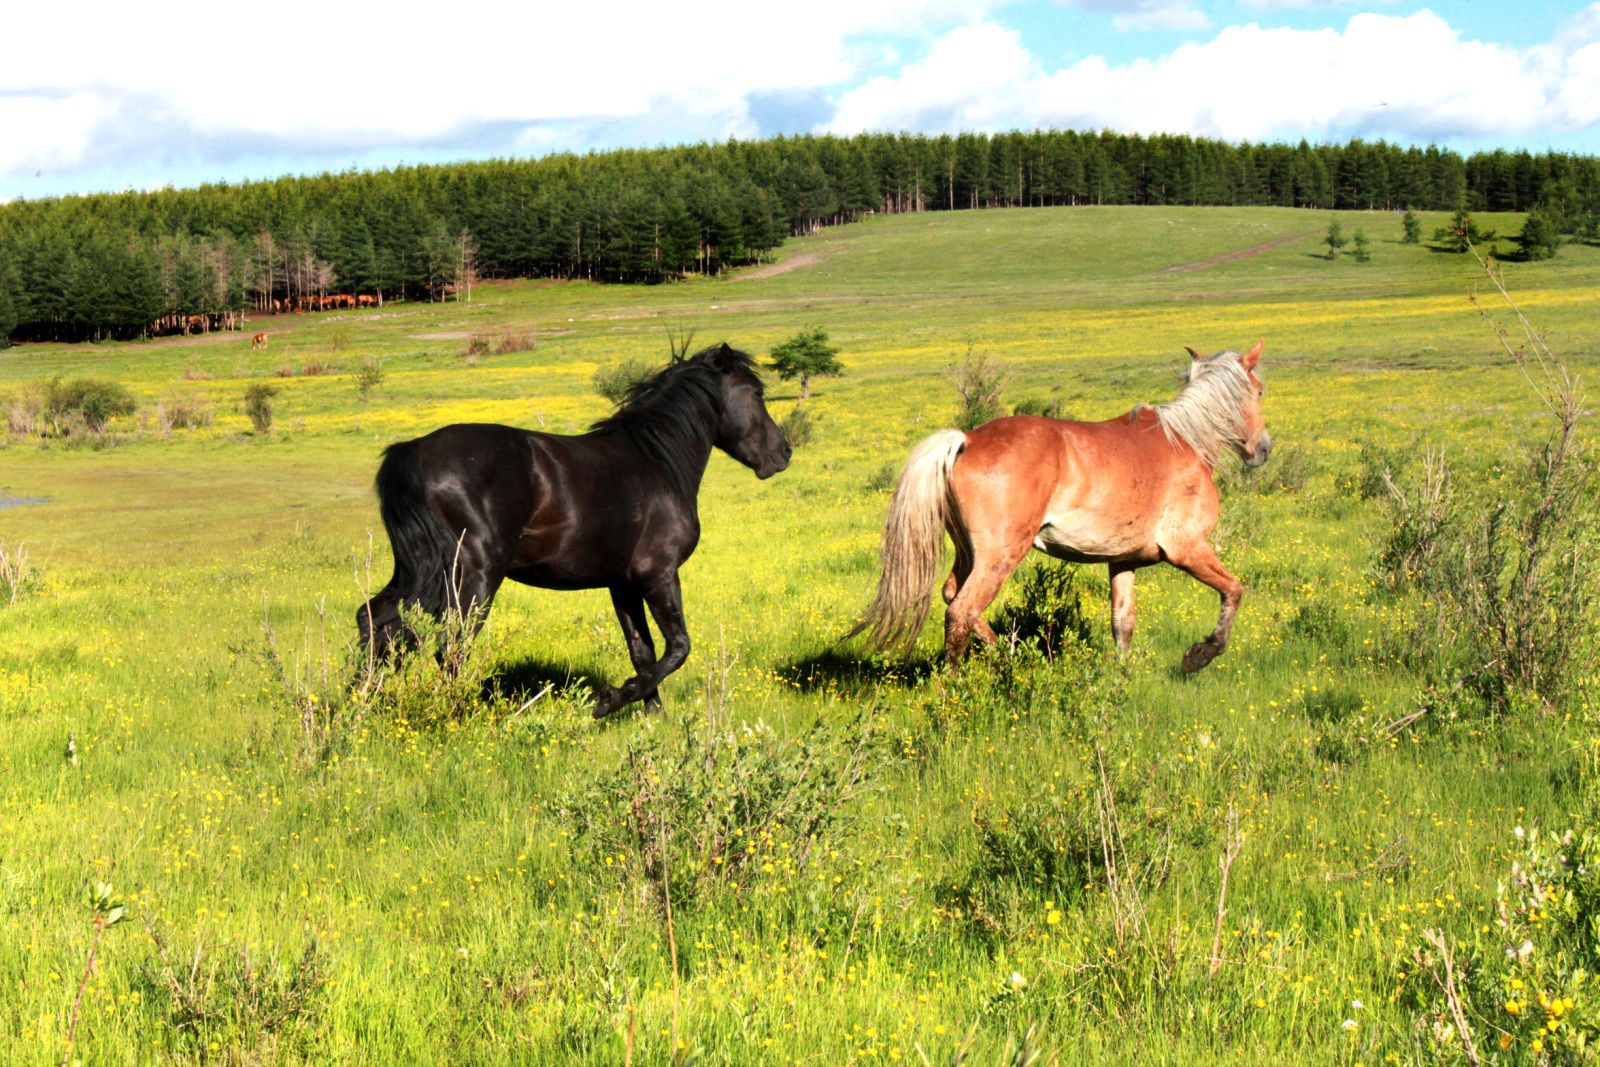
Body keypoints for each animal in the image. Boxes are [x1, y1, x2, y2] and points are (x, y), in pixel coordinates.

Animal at [360, 347, 790, 716]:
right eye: (757, 393)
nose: (783, 453)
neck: (656, 463)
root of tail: (413, 451)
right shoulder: (659, 574)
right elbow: (678, 647)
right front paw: (610, 701)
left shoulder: (623, 584)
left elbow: (644, 652)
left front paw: (652, 714)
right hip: (473, 577)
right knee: (451, 644)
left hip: (416, 571)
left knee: (376, 620)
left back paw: (362, 702)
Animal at [857, 342, 1267, 671]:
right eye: (1261, 391)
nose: (1263, 449)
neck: (1187, 442)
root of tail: (967, 439)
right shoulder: (1188, 549)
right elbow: (1234, 590)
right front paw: (1200, 654)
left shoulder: (1123, 561)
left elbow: (1123, 623)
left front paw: (1122, 677)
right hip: (1000, 554)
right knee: (962, 610)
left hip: (967, 551)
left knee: (953, 597)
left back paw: (1010, 656)